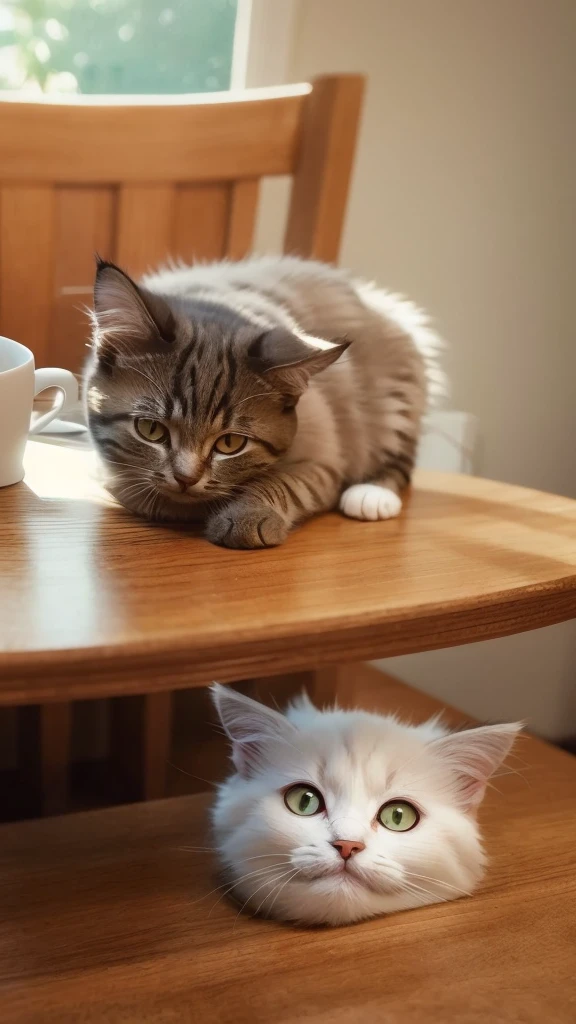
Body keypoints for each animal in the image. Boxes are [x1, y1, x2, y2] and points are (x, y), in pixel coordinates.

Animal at [84, 254, 444, 548]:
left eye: (230, 443)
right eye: (151, 429)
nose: (186, 480)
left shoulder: (324, 460)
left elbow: (284, 483)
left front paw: (248, 514)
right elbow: (137, 487)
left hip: (395, 407)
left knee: (399, 460)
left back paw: (372, 495)